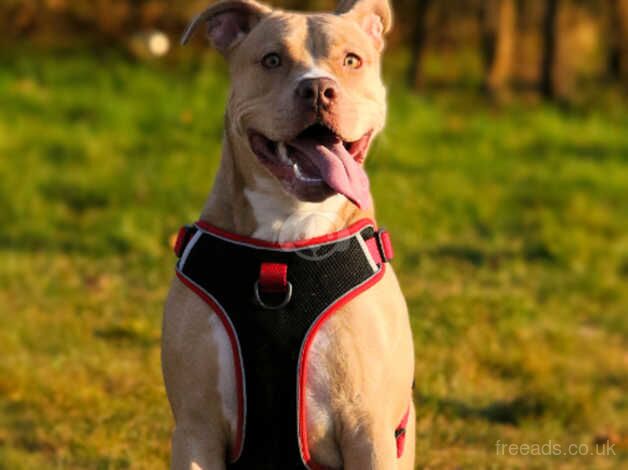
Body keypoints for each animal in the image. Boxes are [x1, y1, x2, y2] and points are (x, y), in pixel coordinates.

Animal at [164, 1, 414, 468]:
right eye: (272, 60)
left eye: (351, 60)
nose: (318, 89)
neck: (289, 231)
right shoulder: (196, 429)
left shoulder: (369, 430)